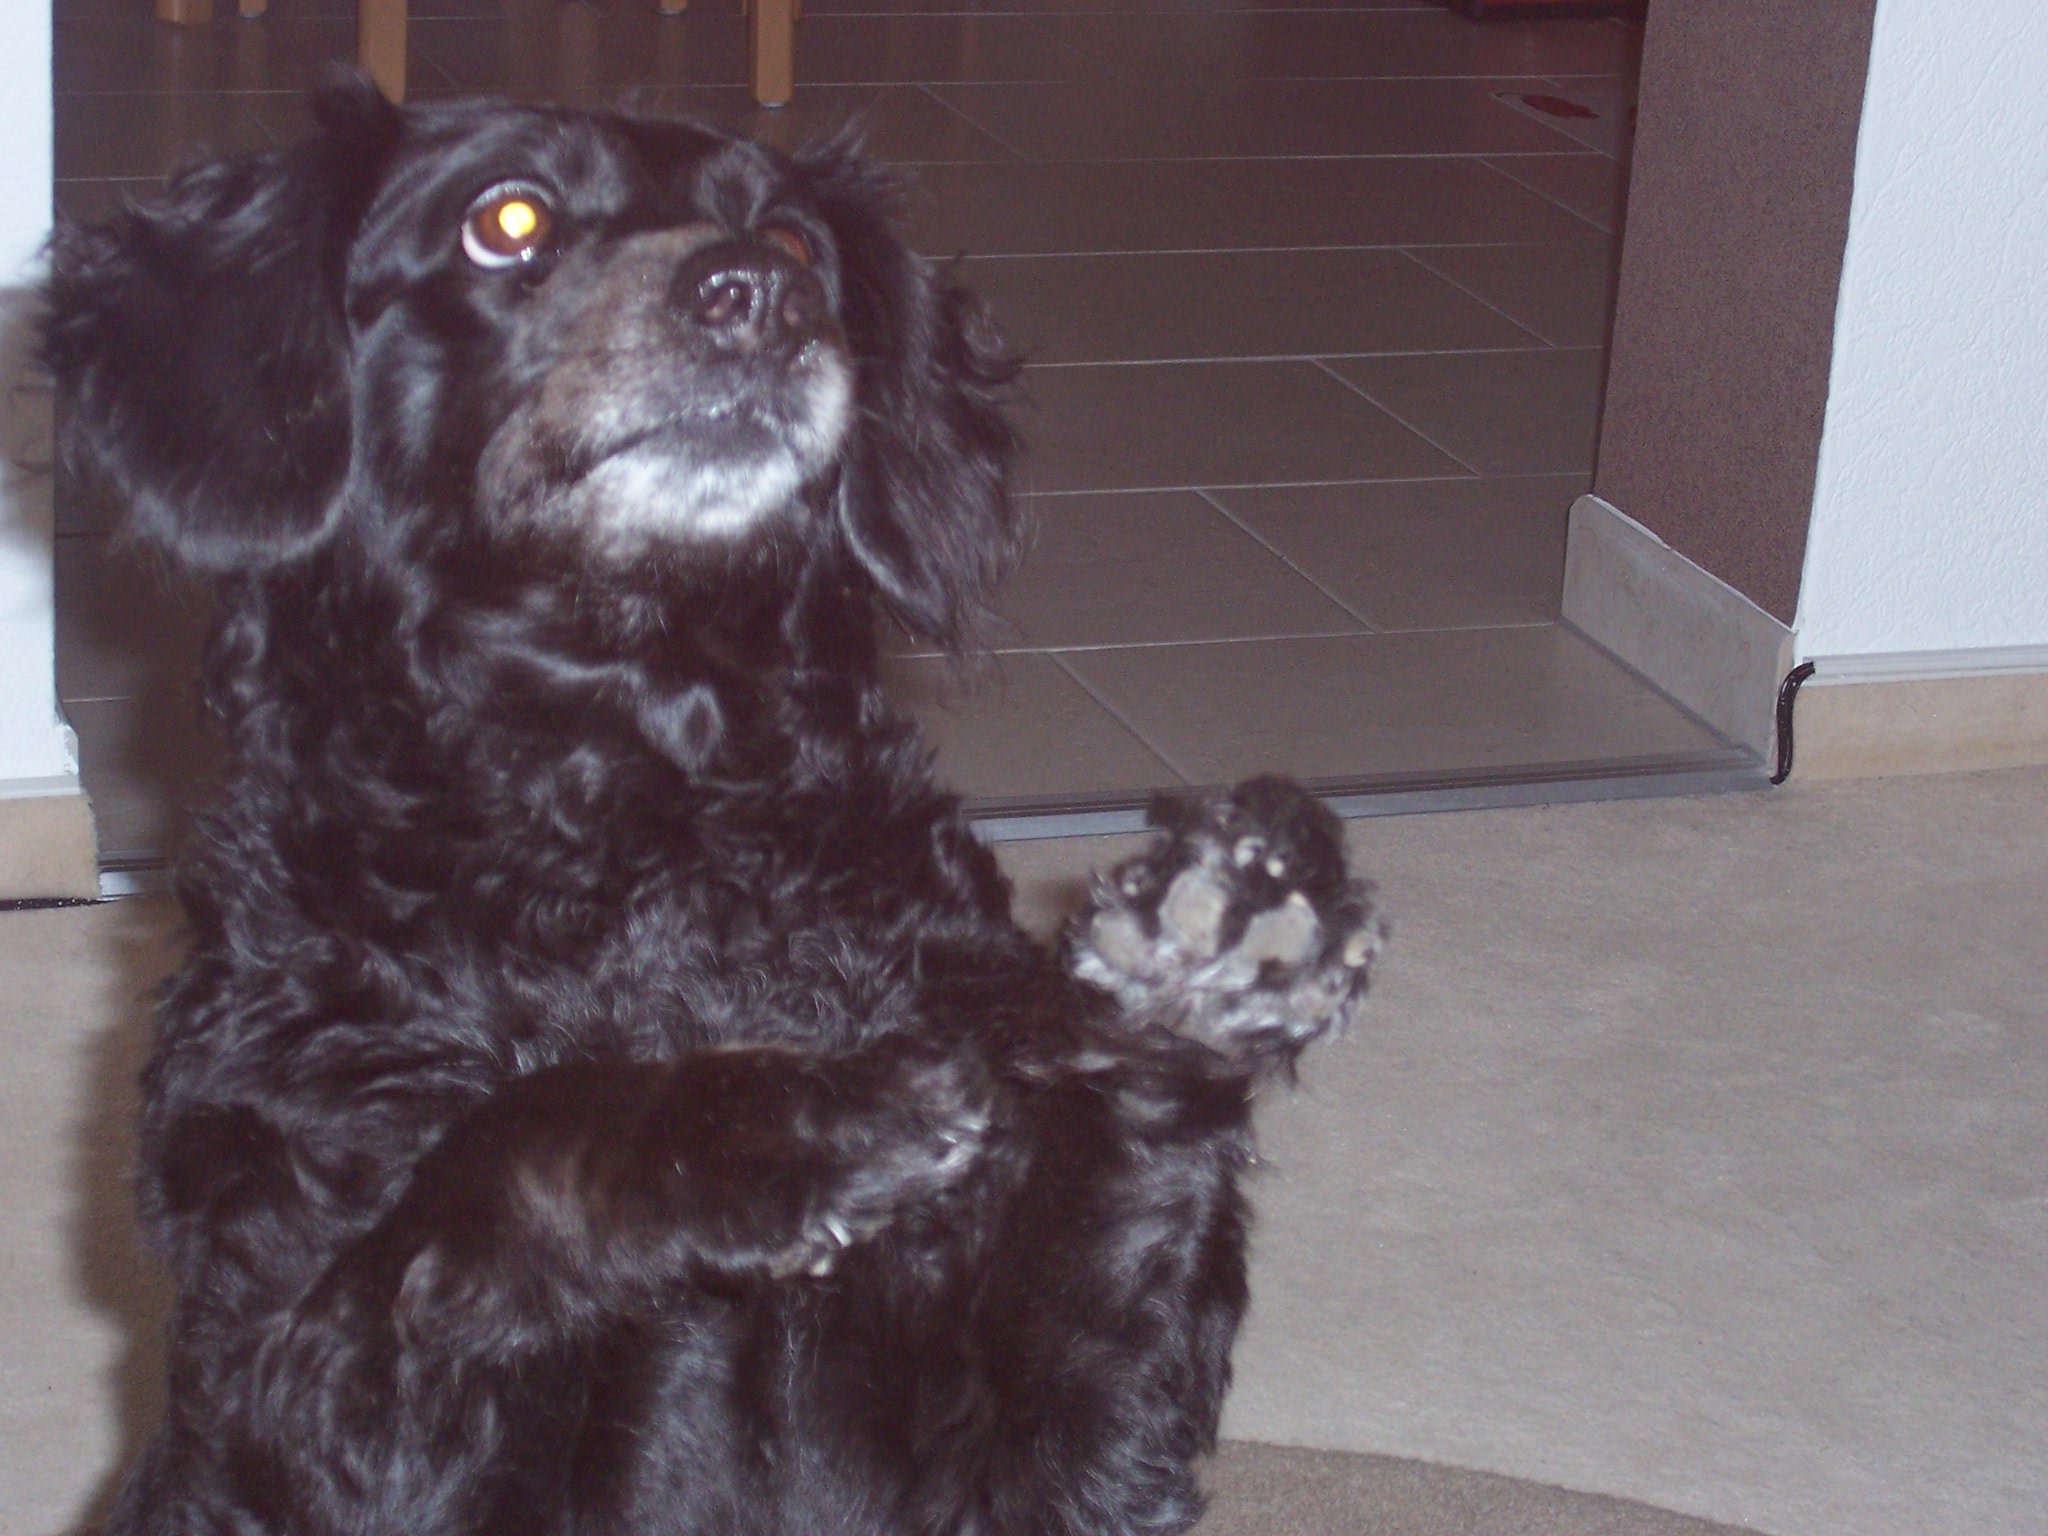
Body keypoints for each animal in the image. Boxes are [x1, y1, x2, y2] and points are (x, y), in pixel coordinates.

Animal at [48, 78, 1384, 1536]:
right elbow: (514, 1140)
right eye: (505, 219)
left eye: (797, 242)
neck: (633, 817)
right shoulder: (307, 1397)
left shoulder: (1053, 1456)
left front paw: (1207, 950)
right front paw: (783, 1124)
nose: (758, 294)